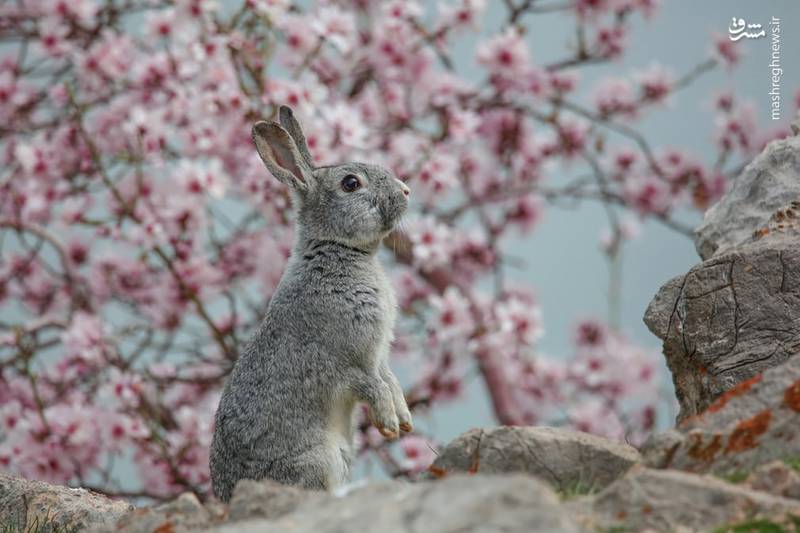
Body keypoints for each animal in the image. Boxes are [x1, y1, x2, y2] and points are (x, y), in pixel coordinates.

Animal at [209, 106, 412, 500]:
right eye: (351, 184)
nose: (406, 191)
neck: (337, 249)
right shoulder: (346, 362)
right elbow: (372, 385)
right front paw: (390, 424)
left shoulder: (379, 356)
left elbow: (390, 380)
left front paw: (405, 420)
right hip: (320, 460)